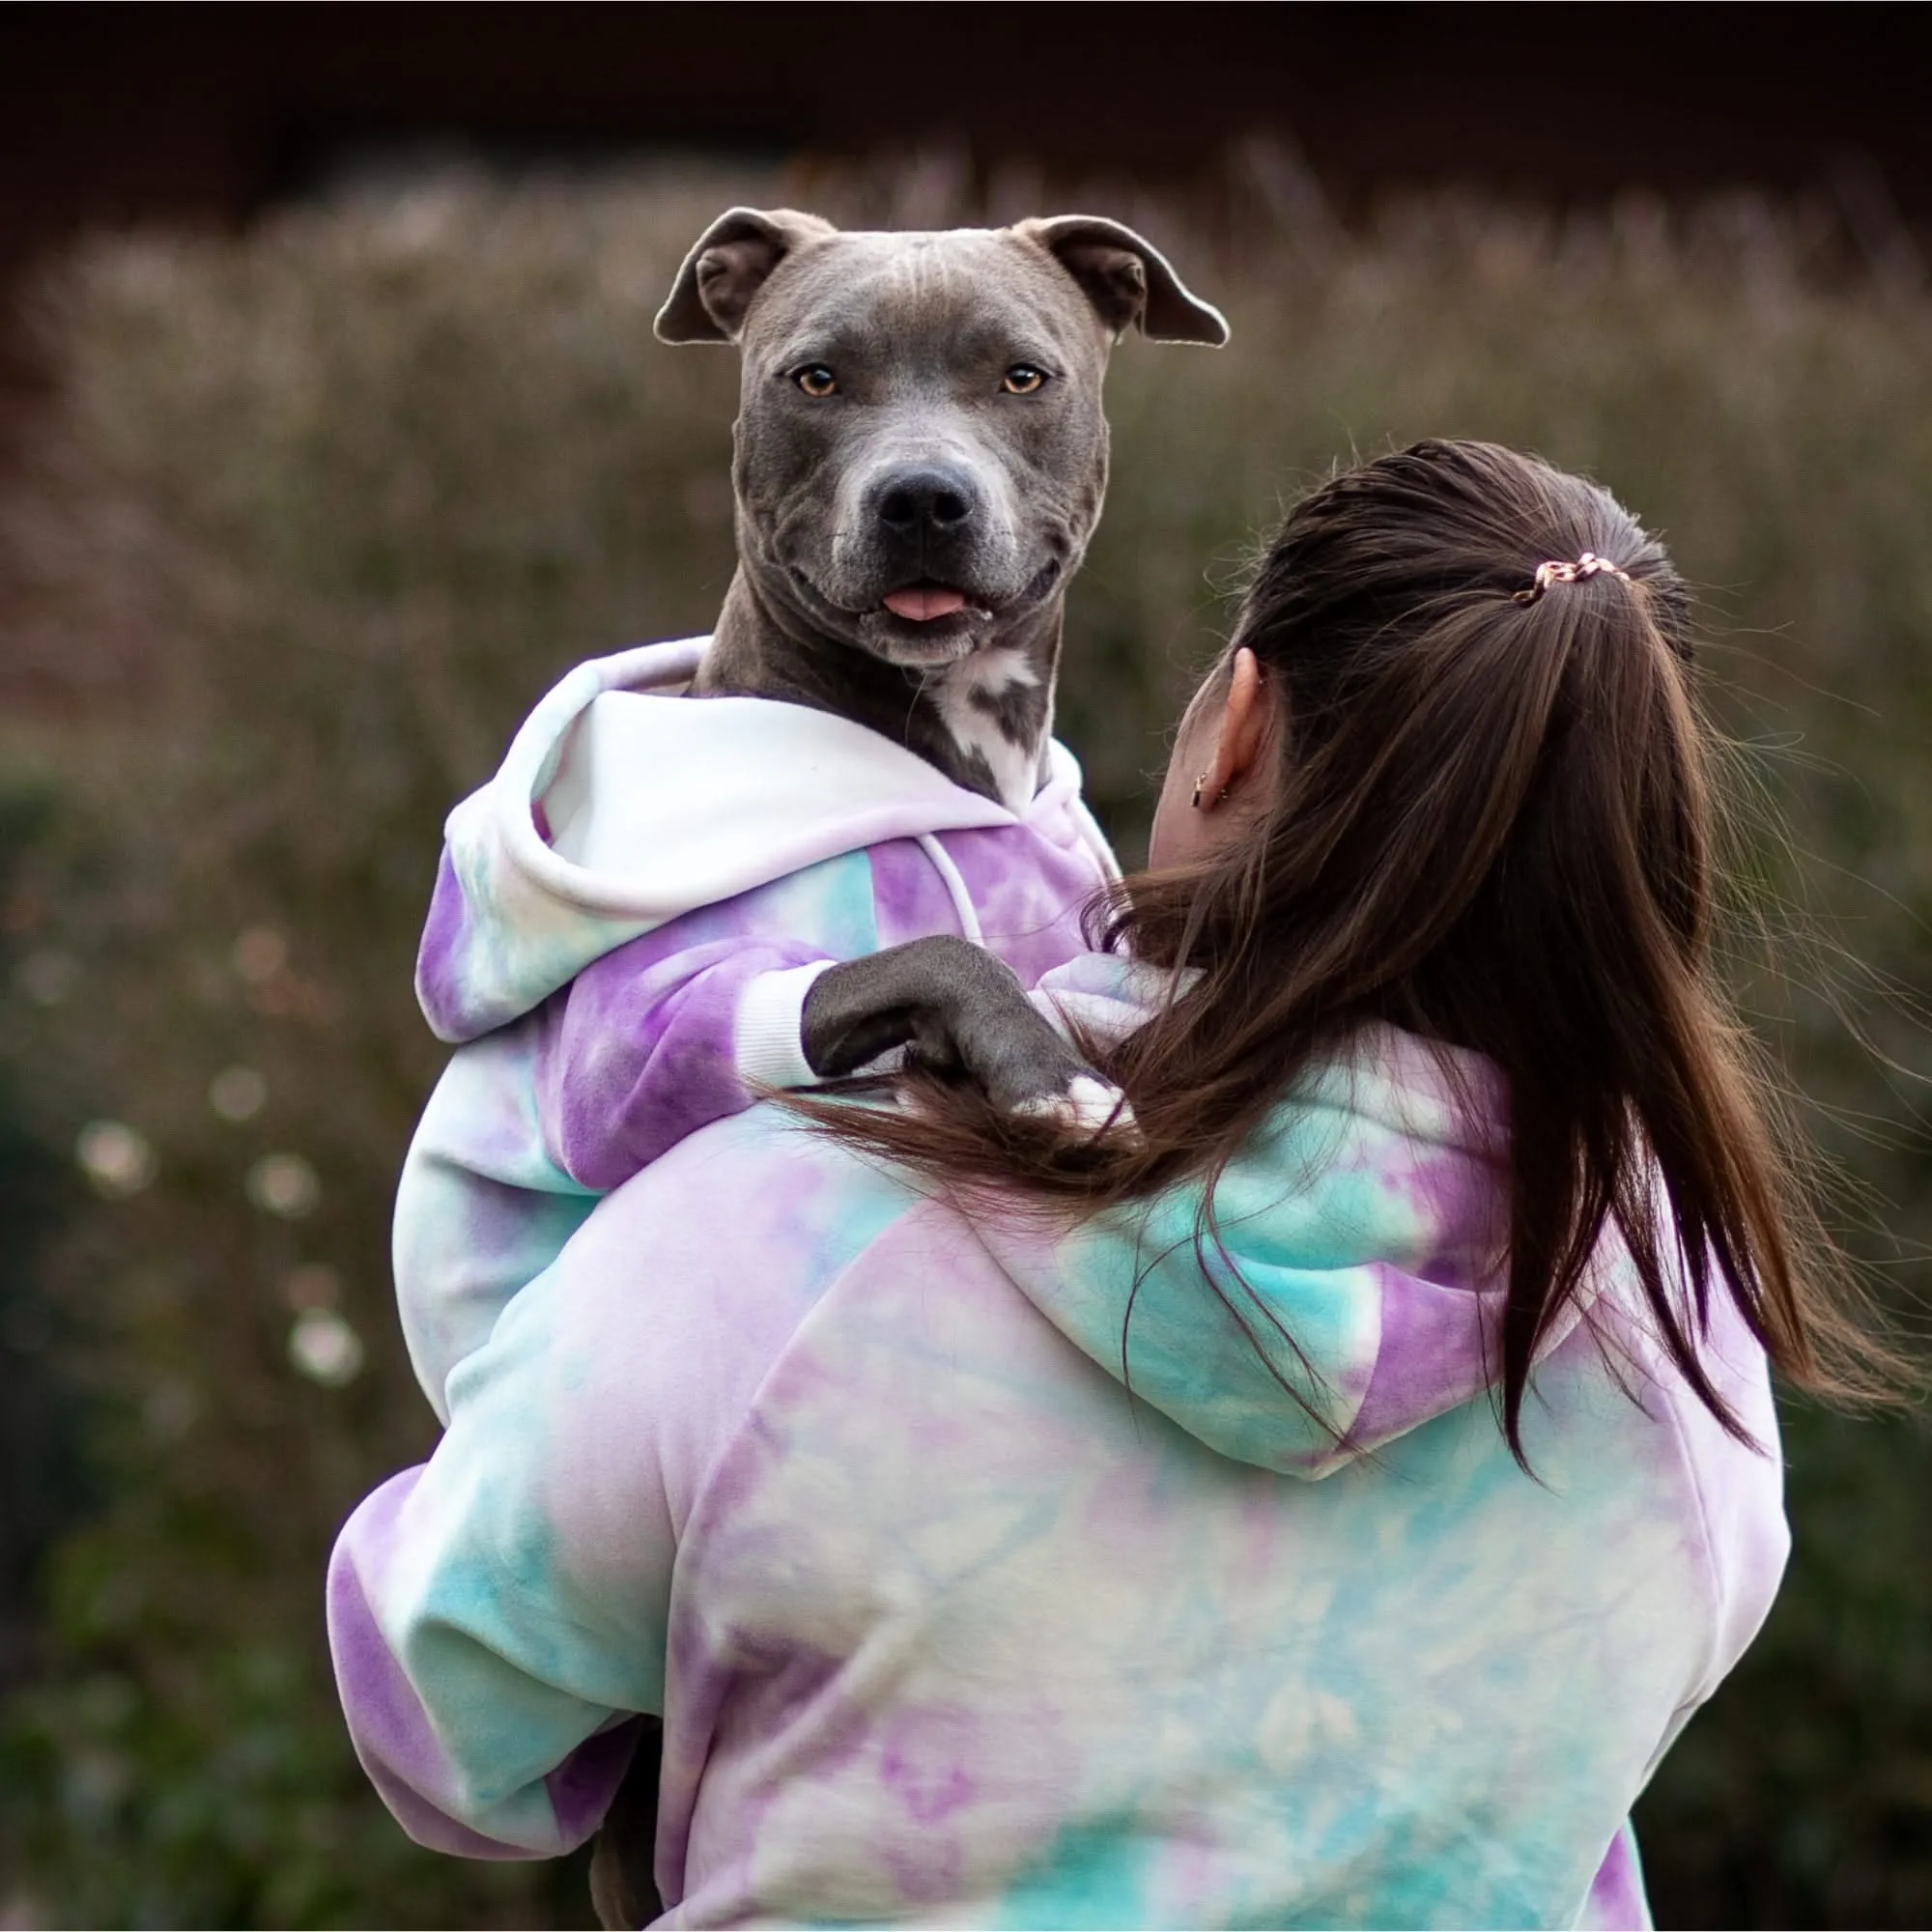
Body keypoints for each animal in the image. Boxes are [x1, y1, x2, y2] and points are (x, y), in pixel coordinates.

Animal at [587, 204, 1221, 1924]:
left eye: (1022, 372)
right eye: (816, 376)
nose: (922, 497)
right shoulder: (663, 1023)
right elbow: (933, 949)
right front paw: (1051, 1082)